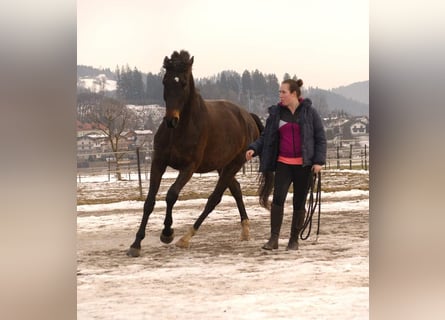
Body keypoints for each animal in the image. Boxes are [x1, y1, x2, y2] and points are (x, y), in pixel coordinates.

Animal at [126, 50, 262, 258]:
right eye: (165, 81)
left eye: (183, 83)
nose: (171, 120)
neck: (180, 130)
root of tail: (248, 116)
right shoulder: (158, 162)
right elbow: (149, 201)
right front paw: (136, 244)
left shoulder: (189, 167)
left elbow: (171, 195)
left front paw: (167, 233)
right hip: (223, 166)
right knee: (236, 190)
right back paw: (245, 230)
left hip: (235, 164)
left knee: (214, 199)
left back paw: (186, 238)